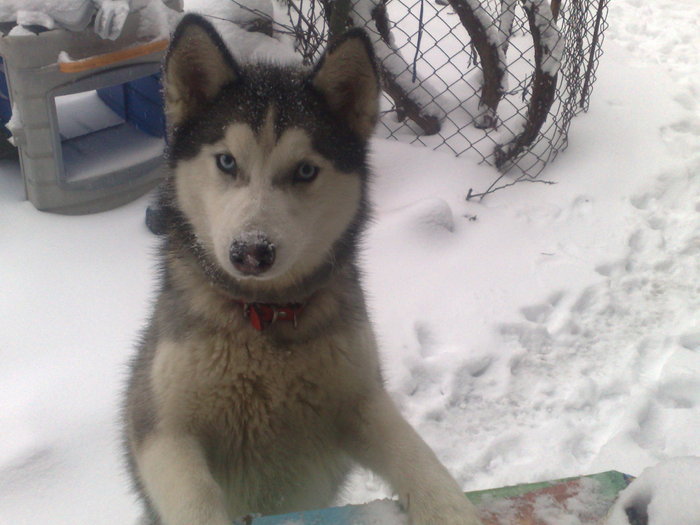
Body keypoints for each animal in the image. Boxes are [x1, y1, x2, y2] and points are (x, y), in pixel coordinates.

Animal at [123, 13, 484, 524]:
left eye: (305, 171)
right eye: (227, 161)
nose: (251, 252)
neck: (264, 319)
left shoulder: (361, 400)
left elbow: (418, 456)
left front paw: (450, 508)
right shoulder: (163, 430)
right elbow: (196, 498)